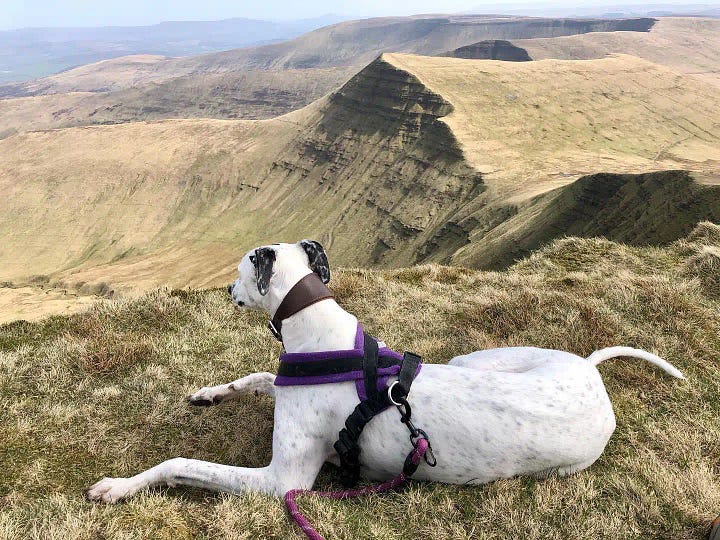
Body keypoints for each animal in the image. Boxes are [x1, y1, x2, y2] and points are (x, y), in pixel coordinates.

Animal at [87, 240, 684, 502]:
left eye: (237, 270)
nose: (228, 291)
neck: (320, 334)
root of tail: (590, 373)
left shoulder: (283, 481)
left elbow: (180, 463)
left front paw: (119, 486)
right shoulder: (282, 384)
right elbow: (258, 378)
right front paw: (211, 392)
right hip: (480, 359)